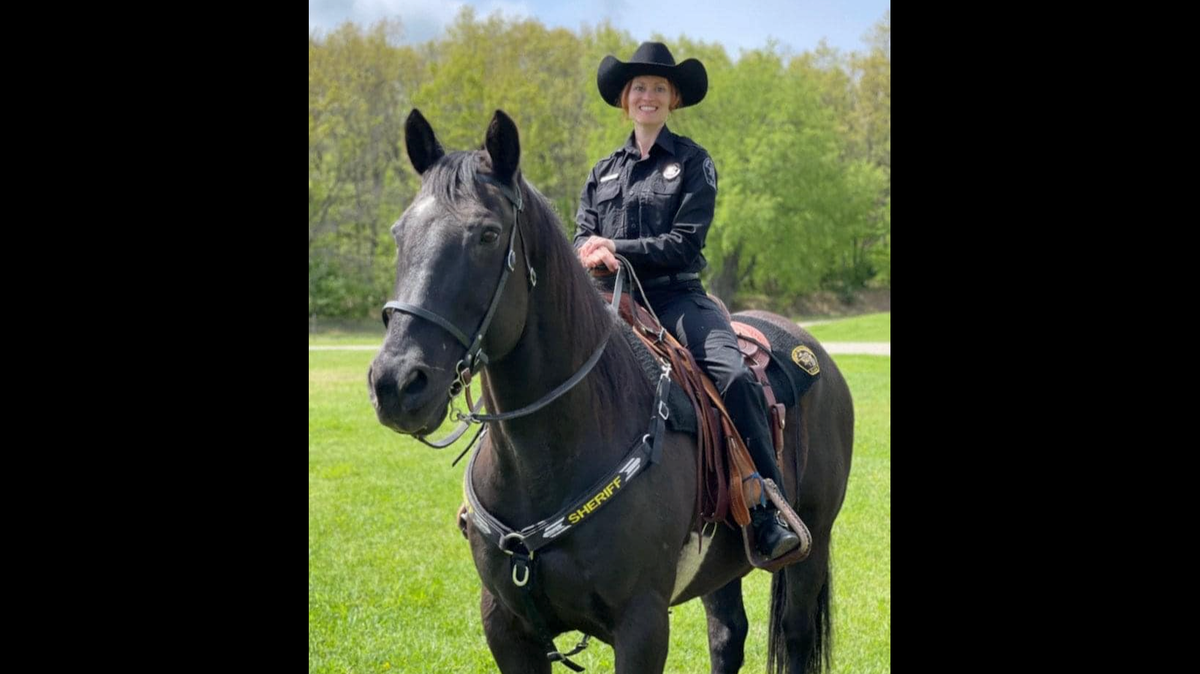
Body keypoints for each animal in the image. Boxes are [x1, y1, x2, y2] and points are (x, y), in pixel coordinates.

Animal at [368, 108, 854, 674]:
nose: (397, 382)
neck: (550, 457)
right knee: (727, 635)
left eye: (487, 235)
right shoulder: (506, 627)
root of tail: (810, 350)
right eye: (399, 232)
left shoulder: (642, 625)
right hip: (723, 565)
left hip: (813, 543)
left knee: (795, 635)